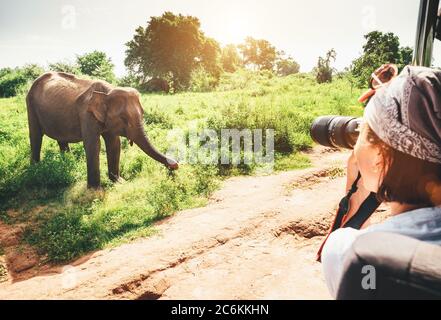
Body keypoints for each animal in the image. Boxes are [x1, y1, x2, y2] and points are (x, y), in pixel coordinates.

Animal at [26, 71, 178, 189]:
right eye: (124, 118)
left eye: (143, 113)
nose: (175, 165)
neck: (107, 92)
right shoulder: (86, 114)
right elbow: (93, 145)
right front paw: (95, 191)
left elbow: (114, 144)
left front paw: (119, 182)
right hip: (30, 103)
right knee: (35, 136)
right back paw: (35, 170)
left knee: (60, 139)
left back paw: (67, 163)